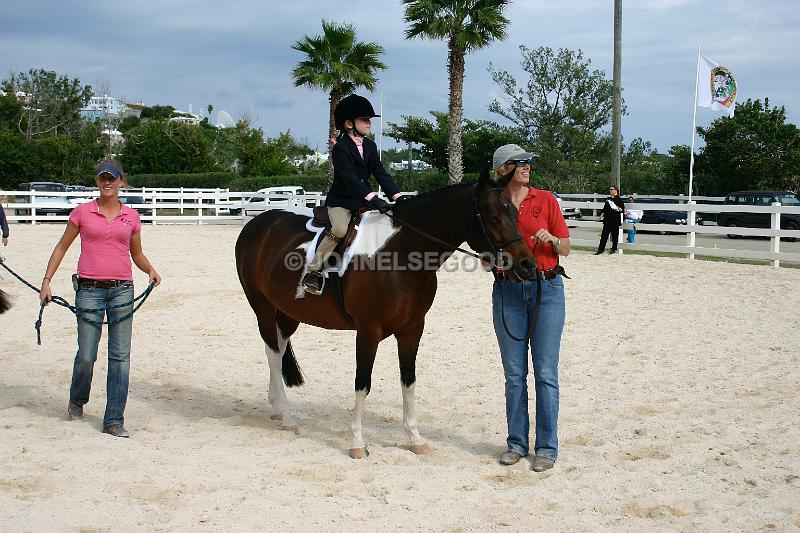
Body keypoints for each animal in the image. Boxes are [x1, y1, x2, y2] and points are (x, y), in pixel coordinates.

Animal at [236, 170, 536, 458]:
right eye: (494, 217)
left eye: (515, 212)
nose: (527, 265)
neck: (400, 253)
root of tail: (258, 223)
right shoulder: (369, 331)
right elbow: (362, 383)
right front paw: (357, 442)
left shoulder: (412, 329)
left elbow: (409, 381)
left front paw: (415, 438)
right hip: (261, 306)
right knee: (273, 354)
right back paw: (287, 417)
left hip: (288, 312)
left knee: (279, 349)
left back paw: (277, 407)